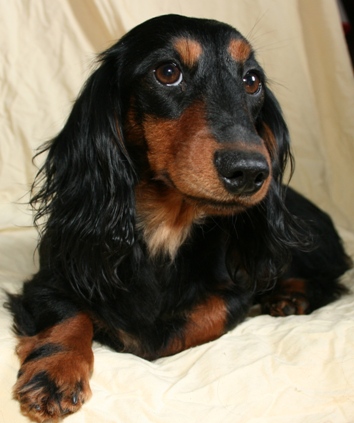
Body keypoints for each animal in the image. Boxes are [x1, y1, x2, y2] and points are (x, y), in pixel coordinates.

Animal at [6, 14, 352, 422]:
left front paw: (131, 331)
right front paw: (55, 372)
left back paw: (291, 296)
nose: (251, 172)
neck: (166, 226)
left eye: (252, 80)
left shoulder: (234, 293)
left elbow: (195, 319)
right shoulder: (49, 277)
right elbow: (67, 314)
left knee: (330, 278)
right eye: (167, 72)